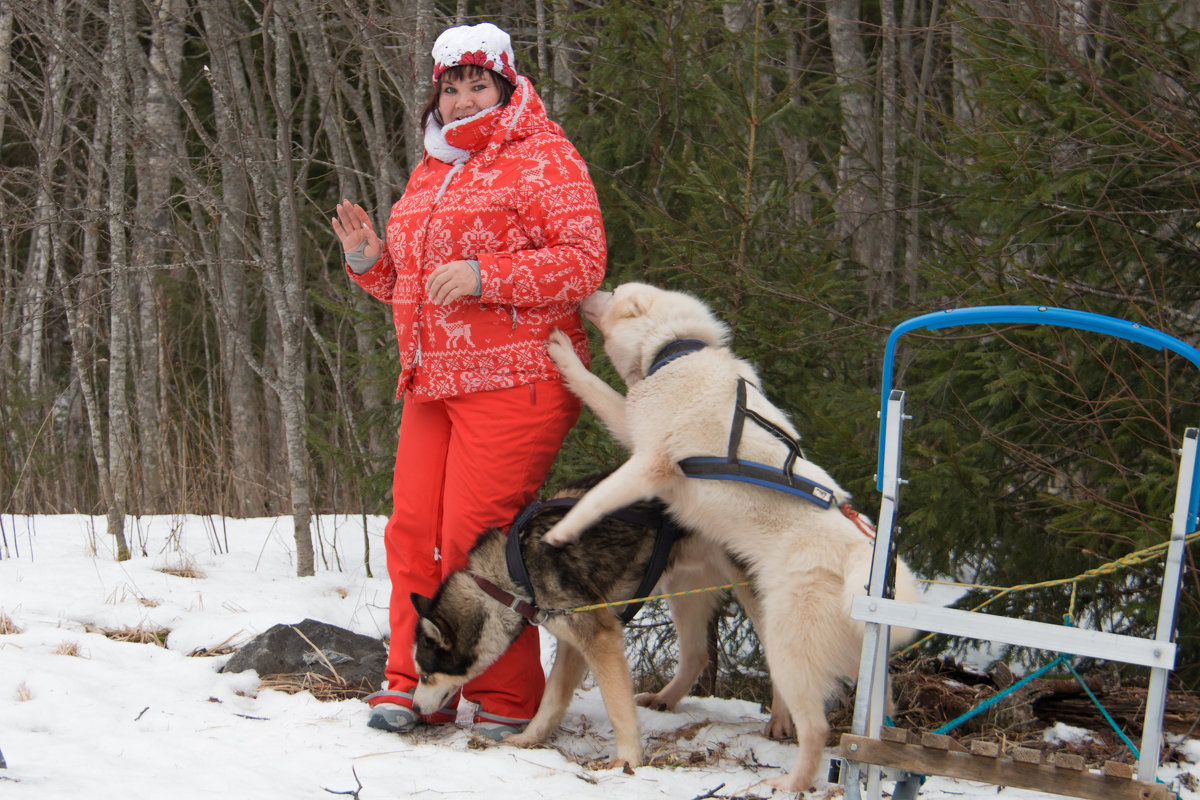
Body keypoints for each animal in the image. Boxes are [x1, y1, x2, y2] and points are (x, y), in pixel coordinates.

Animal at [544, 281, 916, 796]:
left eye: (616, 293)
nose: (593, 288)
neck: (675, 349)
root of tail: (864, 567)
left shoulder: (649, 462)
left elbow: (596, 493)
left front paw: (561, 530)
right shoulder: (633, 428)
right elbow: (601, 394)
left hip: (783, 643)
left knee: (816, 726)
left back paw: (789, 778)